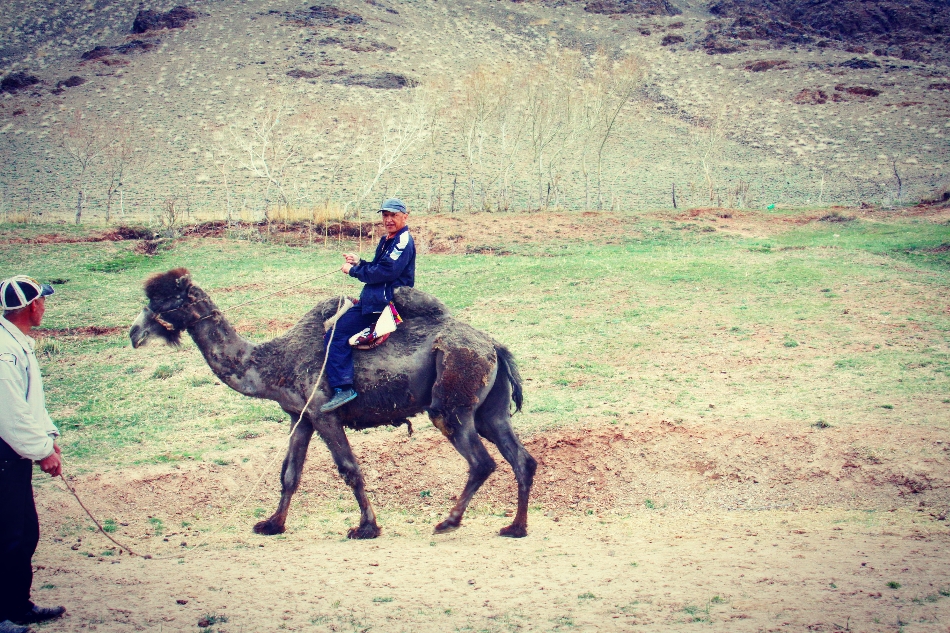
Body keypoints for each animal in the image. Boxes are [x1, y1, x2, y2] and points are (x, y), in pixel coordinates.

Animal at [130, 266, 540, 540]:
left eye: (162, 300)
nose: (134, 333)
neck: (272, 363)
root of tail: (493, 345)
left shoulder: (323, 412)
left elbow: (349, 469)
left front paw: (366, 528)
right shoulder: (299, 416)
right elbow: (289, 474)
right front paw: (272, 524)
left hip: (452, 397)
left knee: (480, 460)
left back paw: (448, 522)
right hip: (489, 408)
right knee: (520, 457)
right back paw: (515, 527)